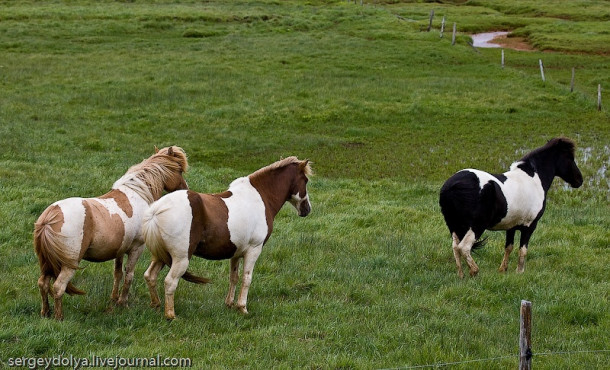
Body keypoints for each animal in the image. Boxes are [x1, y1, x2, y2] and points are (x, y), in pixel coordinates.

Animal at [33, 146, 188, 320]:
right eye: (179, 170)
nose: (185, 189)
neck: (137, 194)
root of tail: (50, 217)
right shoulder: (136, 248)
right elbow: (129, 276)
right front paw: (123, 302)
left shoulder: (119, 250)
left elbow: (117, 274)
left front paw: (114, 299)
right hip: (68, 264)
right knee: (58, 287)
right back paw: (59, 317)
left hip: (46, 263)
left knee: (43, 284)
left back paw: (45, 313)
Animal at [142, 155, 312, 320]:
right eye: (305, 180)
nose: (307, 209)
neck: (260, 197)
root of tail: (157, 210)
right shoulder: (254, 250)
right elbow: (246, 279)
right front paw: (242, 308)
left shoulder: (236, 253)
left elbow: (234, 277)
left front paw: (229, 304)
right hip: (180, 259)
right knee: (170, 282)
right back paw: (171, 315)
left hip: (161, 256)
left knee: (150, 276)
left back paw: (156, 305)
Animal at [436, 138, 580, 278]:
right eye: (570, 157)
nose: (580, 180)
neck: (533, 180)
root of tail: (451, 186)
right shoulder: (530, 226)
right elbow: (523, 250)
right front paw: (520, 272)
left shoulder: (511, 226)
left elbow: (509, 247)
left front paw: (503, 270)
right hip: (476, 227)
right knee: (464, 247)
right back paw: (474, 271)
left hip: (454, 226)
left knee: (455, 248)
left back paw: (461, 275)